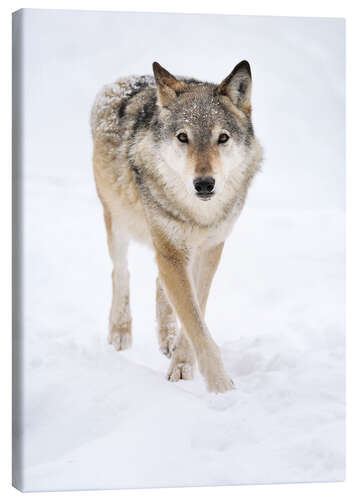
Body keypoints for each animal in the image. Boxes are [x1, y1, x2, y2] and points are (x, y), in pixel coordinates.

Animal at [89, 60, 262, 392]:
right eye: (183, 137)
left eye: (223, 138)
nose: (204, 183)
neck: (198, 214)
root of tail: (127, 79)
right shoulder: (170, 250)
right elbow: (195, 322)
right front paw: (221, 387)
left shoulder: (210, 249)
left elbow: (196, 311)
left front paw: (182, 362)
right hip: (118, 220)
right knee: (120, 271)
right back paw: (120, 332)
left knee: (159, 283)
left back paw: (166, 339)